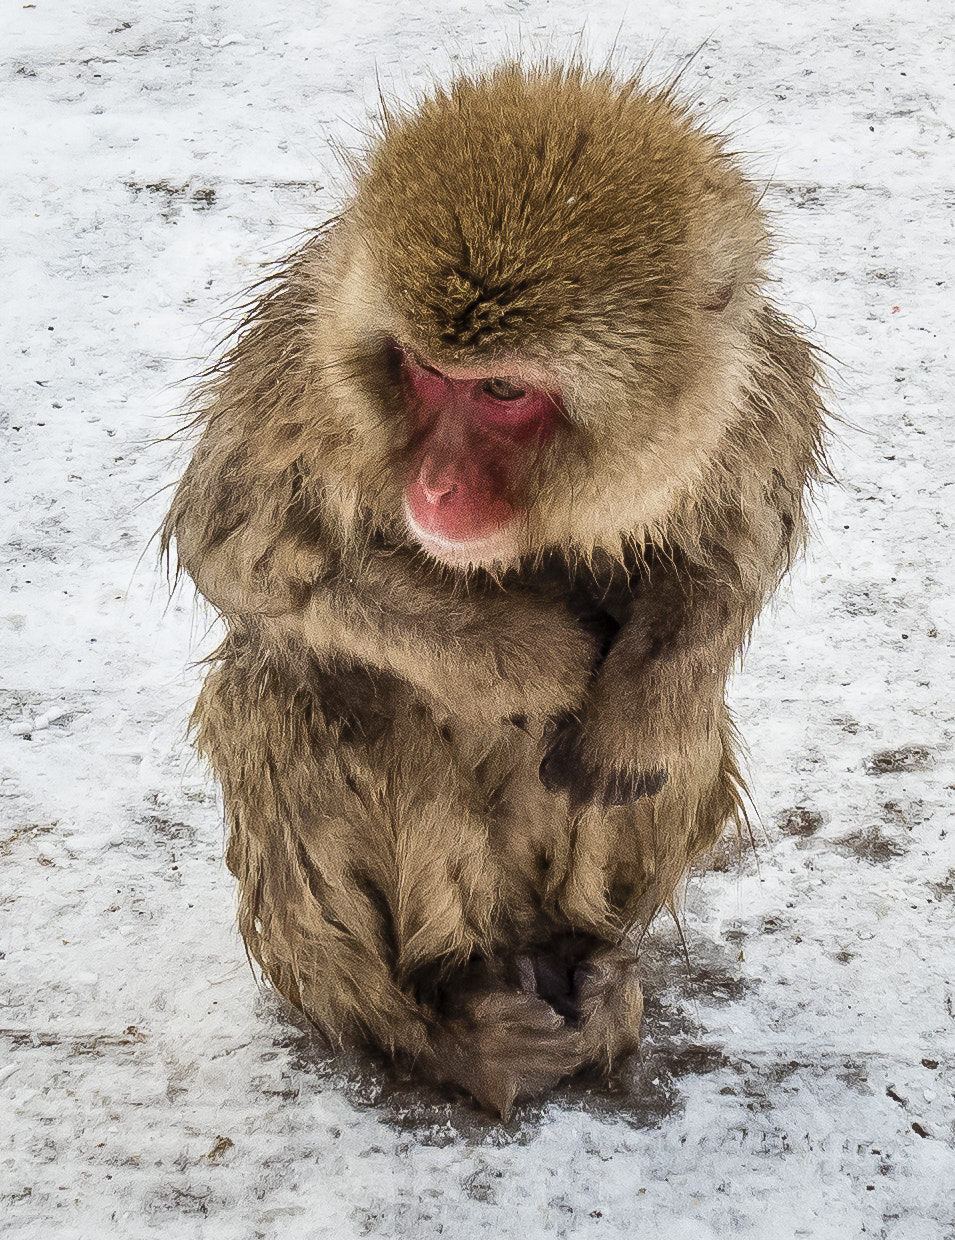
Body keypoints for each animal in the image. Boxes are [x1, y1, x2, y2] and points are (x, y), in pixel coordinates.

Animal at [162, 63, 827, 1118]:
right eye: (424, 373)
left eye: (504, 393)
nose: (435, 488)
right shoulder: (301, 382)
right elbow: (237, 546)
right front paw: (526, 658)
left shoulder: (754, 390)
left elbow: (743, 546)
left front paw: (639, 709)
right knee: (296, 696)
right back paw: (432, 1024)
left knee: (678, 742)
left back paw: (582, 958)